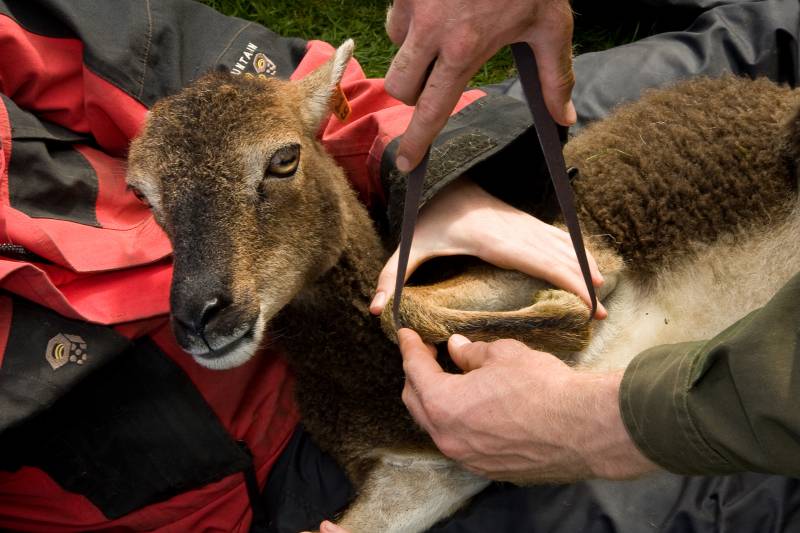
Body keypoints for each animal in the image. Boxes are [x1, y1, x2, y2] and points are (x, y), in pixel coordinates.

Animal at [126, 38, 800, 532]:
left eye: (284, 159)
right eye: (143, 196)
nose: (202, 316)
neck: (378, 391)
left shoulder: (571, 248)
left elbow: (410, 310)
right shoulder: (417, 481)